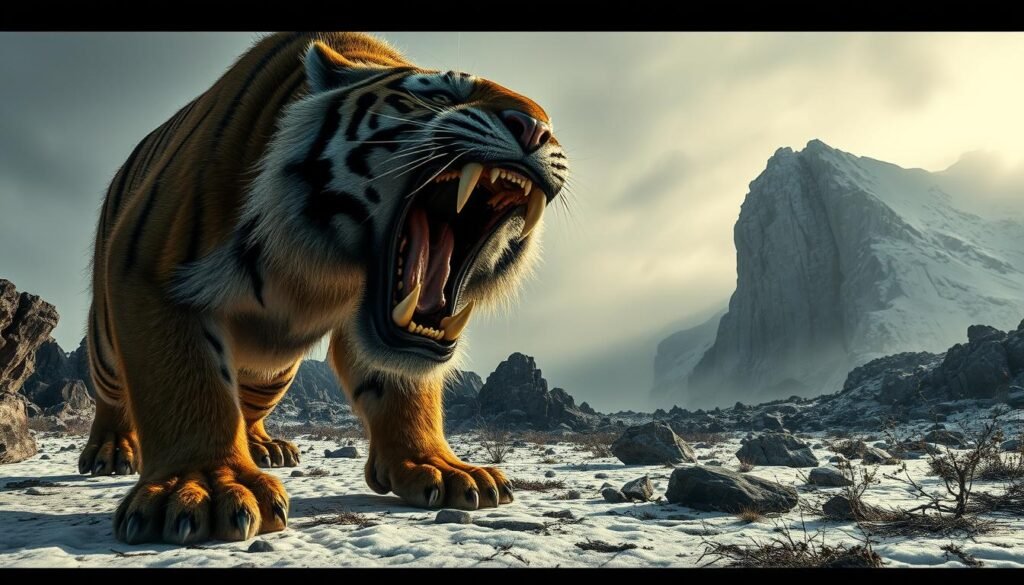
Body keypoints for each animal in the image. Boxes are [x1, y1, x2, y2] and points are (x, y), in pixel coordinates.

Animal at [76, 31, 568, 545]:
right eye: (441, 94)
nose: (535, 129)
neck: (330, 268)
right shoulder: (152, 269)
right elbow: (188, 384)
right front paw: (204, 487)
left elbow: (404, 388)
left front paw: (439, 467)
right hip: (107, 345)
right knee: (113, 391)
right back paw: (111, 452)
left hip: (272, 372)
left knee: (248, 404)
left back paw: (265, 447)